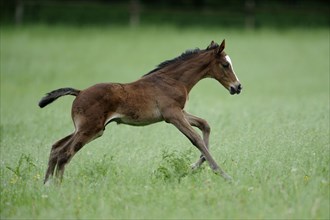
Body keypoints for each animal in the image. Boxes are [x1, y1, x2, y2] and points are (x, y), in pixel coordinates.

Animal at [40, 38, 242, 183]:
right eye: (225, 65)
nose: (238, 87)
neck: (173, 80)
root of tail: (79, 92)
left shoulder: (179, 112)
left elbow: (205, 125)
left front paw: (195, 165)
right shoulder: (173, 115)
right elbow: (196, 139)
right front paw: (222, 174)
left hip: (86, 129)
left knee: (56, 147)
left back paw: (46, 185)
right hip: (91, 129)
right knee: (65, 154)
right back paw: (57, 187)